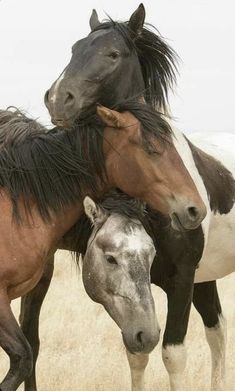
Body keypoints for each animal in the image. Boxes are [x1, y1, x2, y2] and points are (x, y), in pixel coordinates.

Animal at [0, 103, 205, 391]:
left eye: (151, 254)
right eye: (151, 149)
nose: (195, 209)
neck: (15, 205)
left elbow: (31, 347)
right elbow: (22, 357)